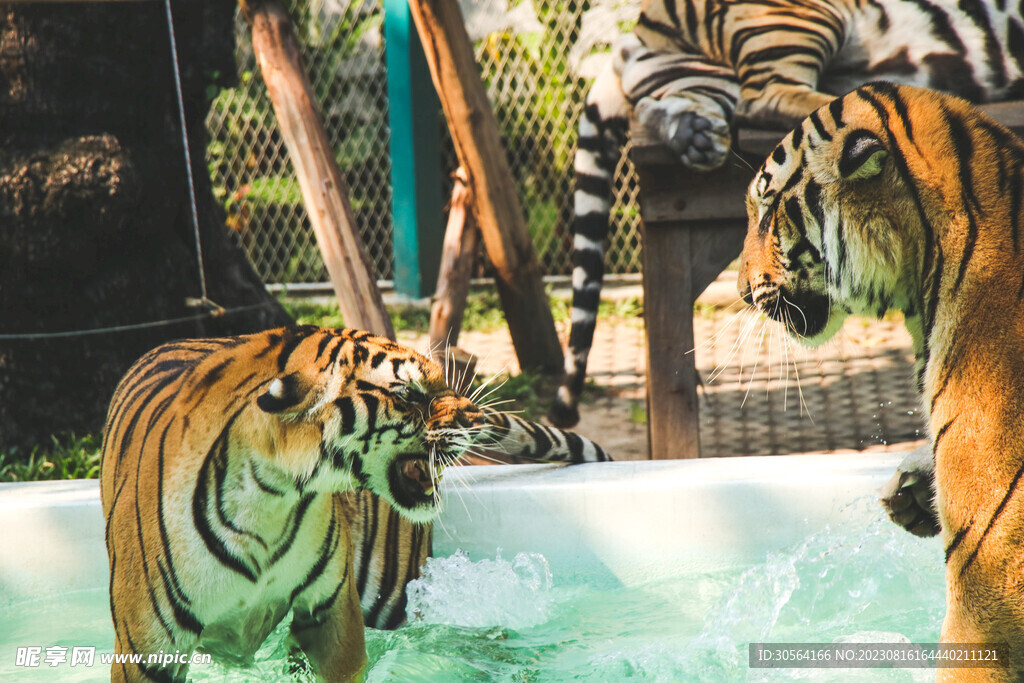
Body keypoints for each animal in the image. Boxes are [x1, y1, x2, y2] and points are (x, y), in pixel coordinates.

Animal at [99, 325, 609, 682]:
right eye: (409, 393)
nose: (476, 415)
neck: (269, 500)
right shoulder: (147, 649)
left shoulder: (330, 610)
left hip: (394, 588)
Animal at [549, 0, 1024, 428]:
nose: (742, 293)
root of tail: (635, 30)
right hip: (790, 19)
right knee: (766, 98)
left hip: (699, 78)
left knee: (665, 105)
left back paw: (696, 135)